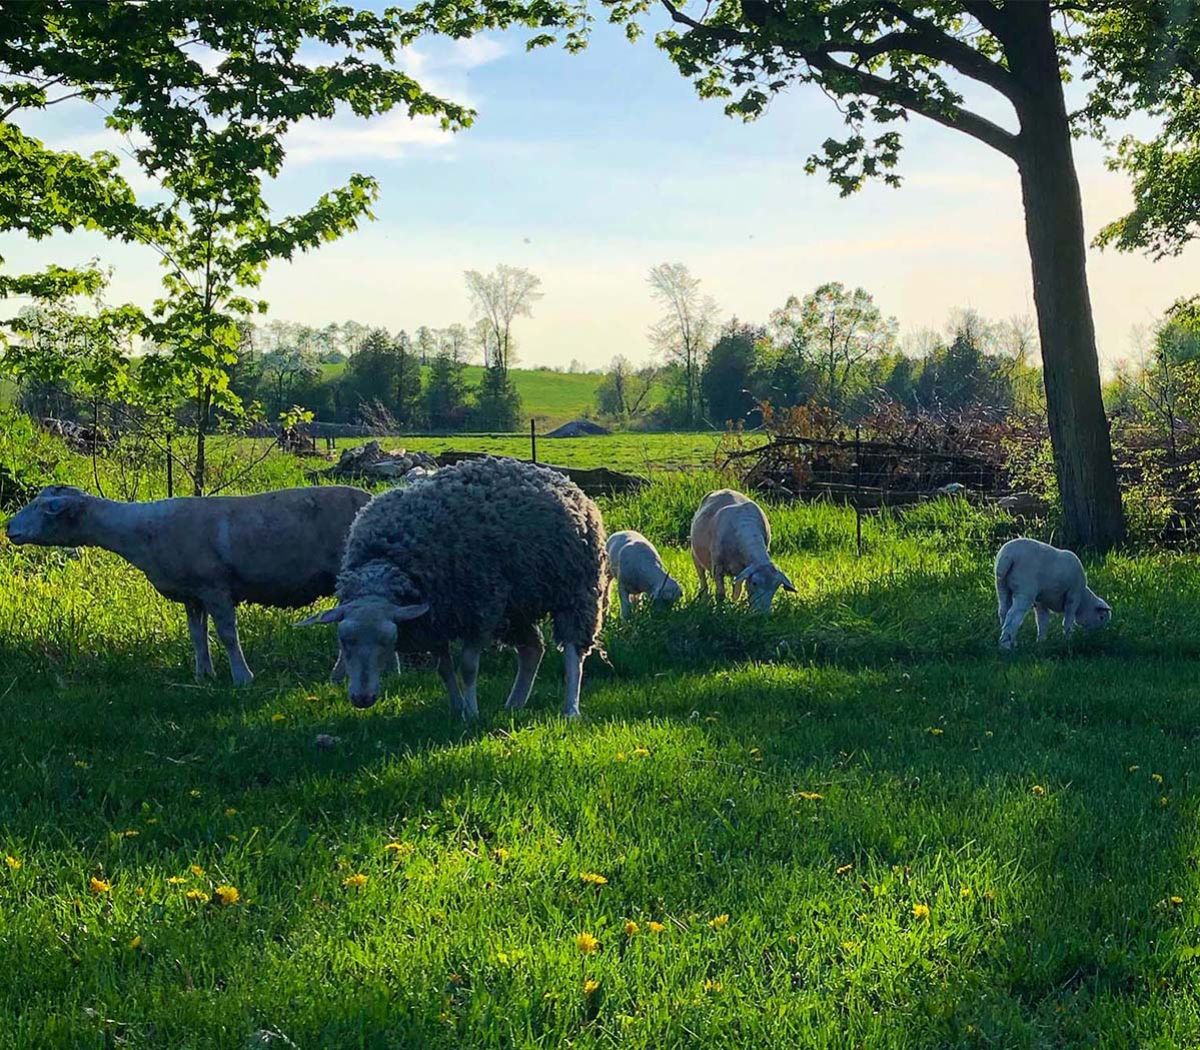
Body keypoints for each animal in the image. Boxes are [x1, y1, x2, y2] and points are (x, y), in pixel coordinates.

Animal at [5, 484, 371, 684]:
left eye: (44, 508)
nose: (9, 528)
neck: (139, 531)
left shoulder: (215, 587)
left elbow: (227, 635)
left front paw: (242, 678)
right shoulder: (191, 594)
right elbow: (197, 636)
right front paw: (203, 675)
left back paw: (339, 675)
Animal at [299, 457, 608, 718]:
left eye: (388, 640)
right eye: (343, 641)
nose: (362, 699)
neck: (386, 563)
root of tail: (560, 479)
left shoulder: (479, 611)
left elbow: (468, 669)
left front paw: (471, 713)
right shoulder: (436, 621)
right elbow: (444, 669)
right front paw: (457, 708)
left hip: (576, 591)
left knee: (573, 652)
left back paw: (570, 709)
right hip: (516, 605)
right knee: (533, 649)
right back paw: (514, 704)